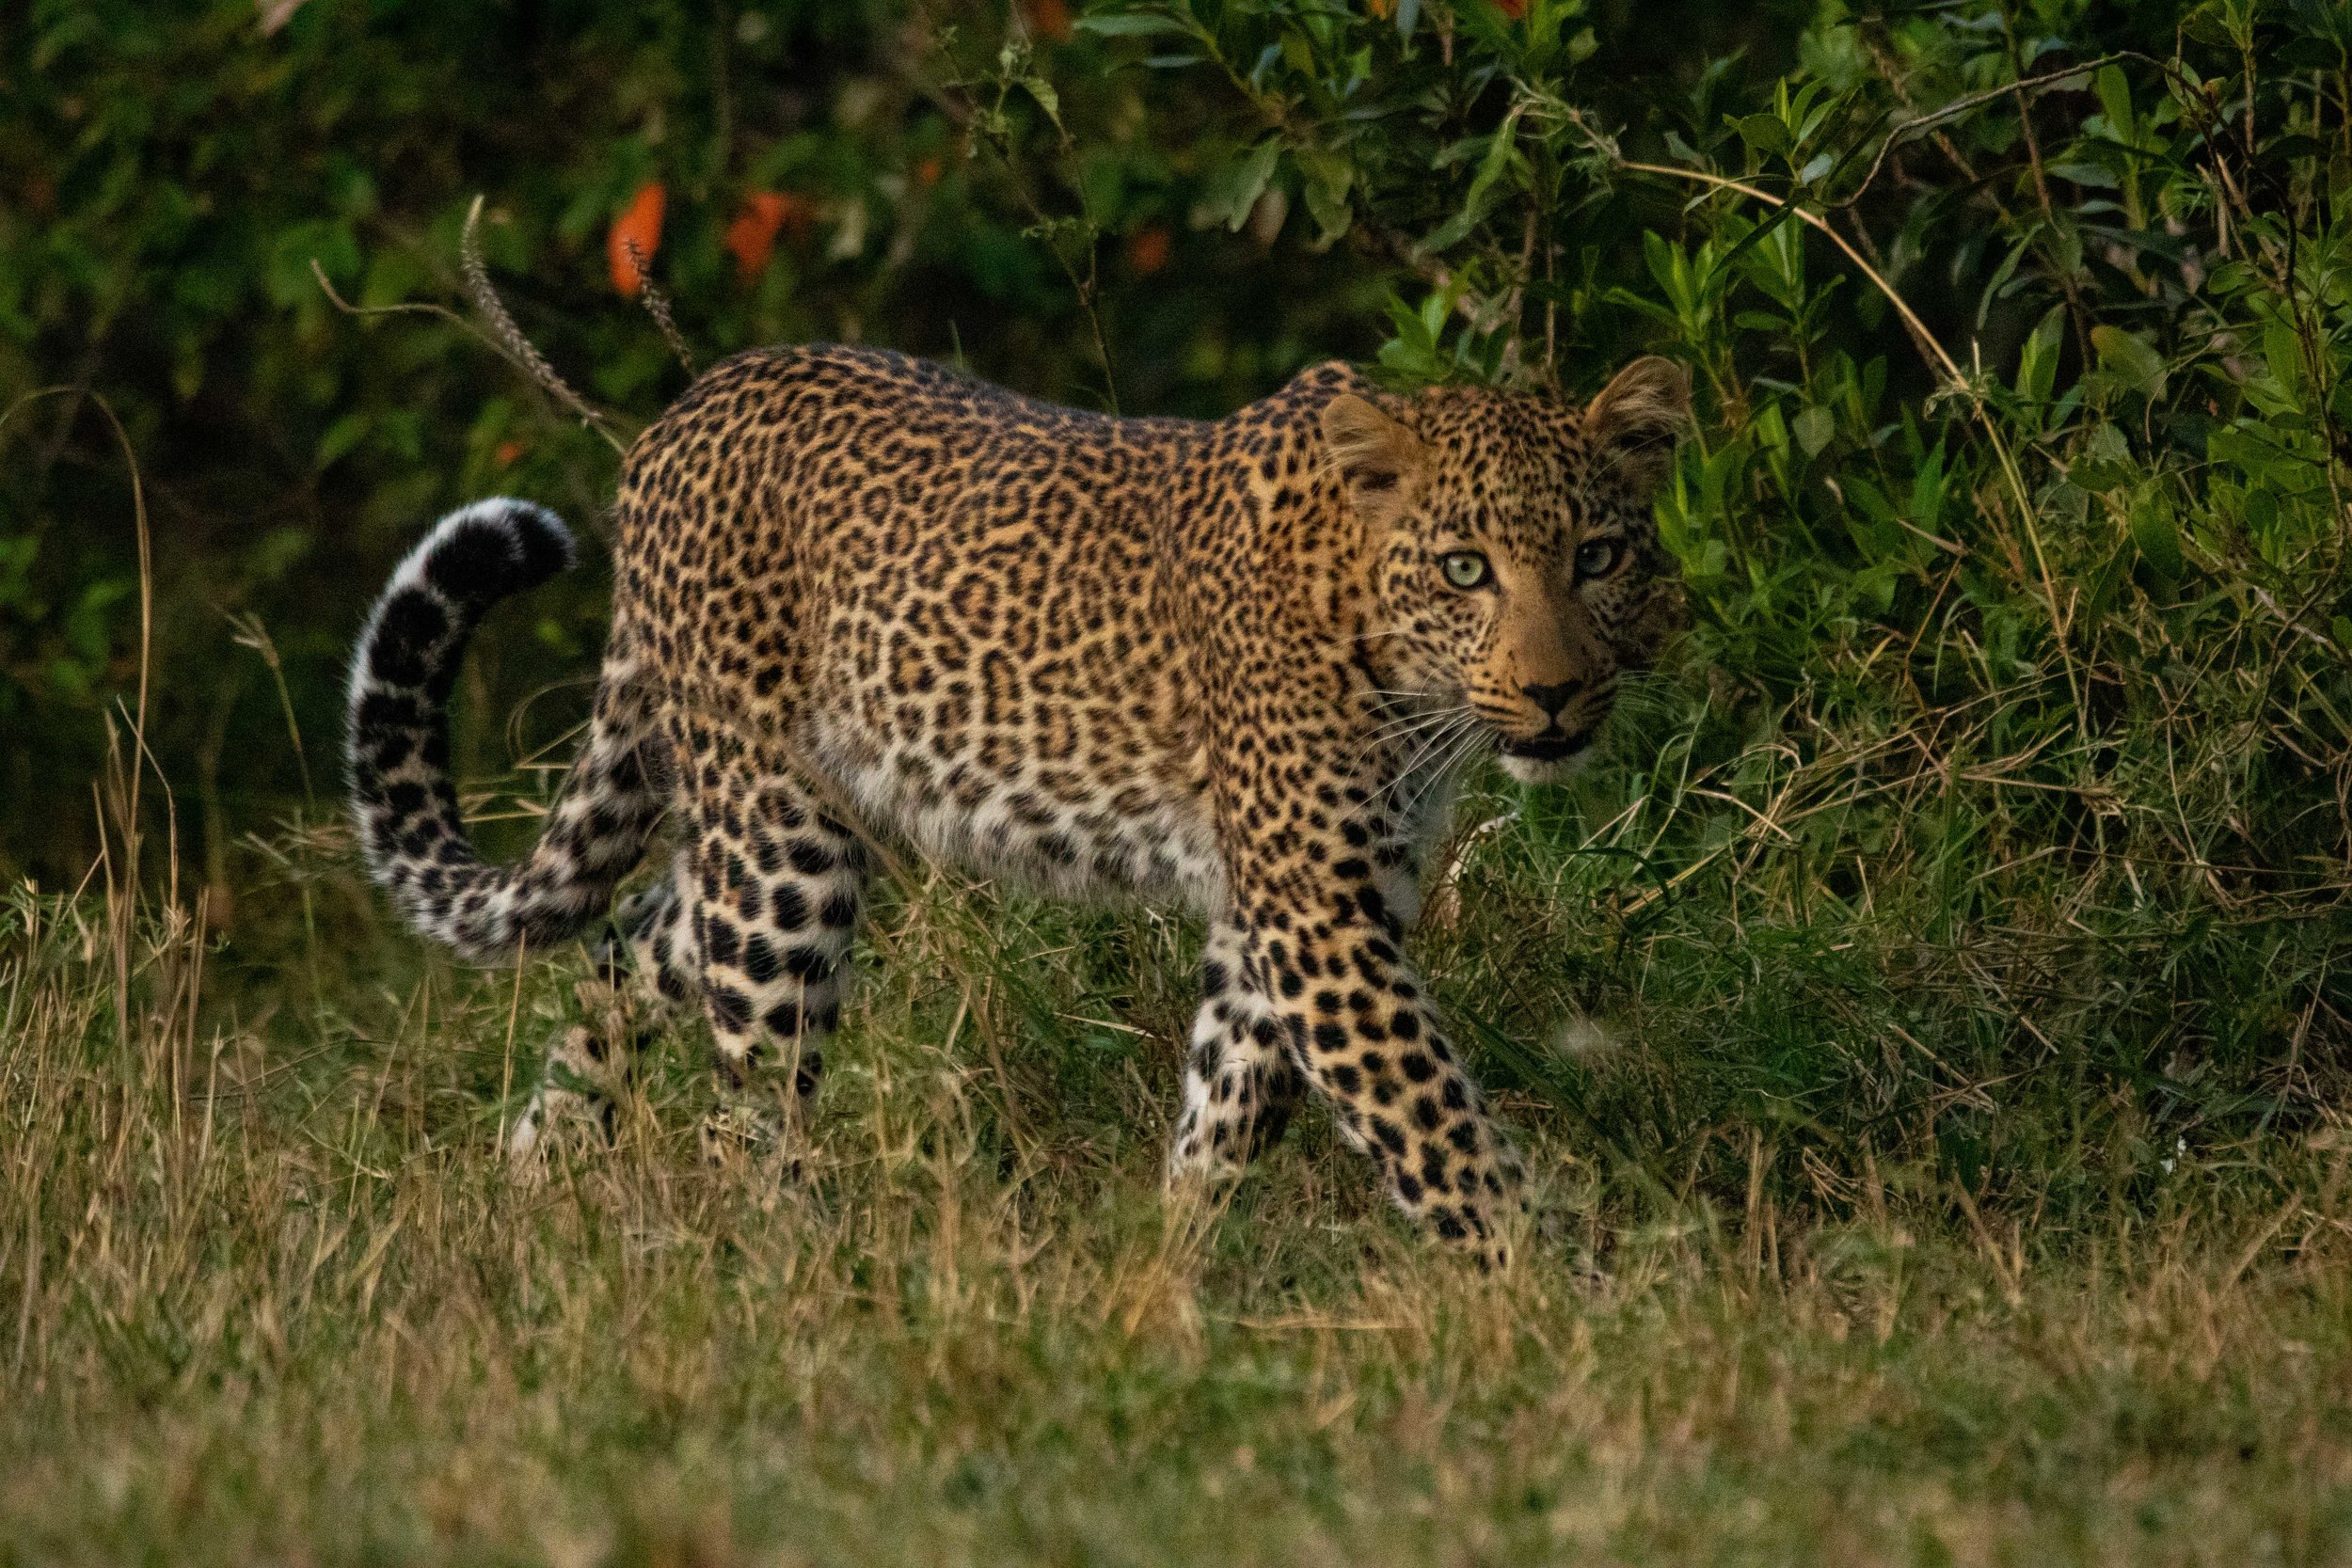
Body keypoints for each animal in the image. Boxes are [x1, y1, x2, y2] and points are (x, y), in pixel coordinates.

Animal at [345, 343, 1690, 1264]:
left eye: (1598, 557)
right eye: (1466, 568)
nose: (1556, 692)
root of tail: (681, 413)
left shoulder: (1288, 909)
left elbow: (1226, 1108)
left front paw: (1164, 1277)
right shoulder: (1319, 917)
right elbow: (1437, 1128)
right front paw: (1571, 1303)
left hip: (776, 827)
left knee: (630, 947)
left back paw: (538, 1174)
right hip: (779, 845)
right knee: (749, 1101)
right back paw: (799, 1279)